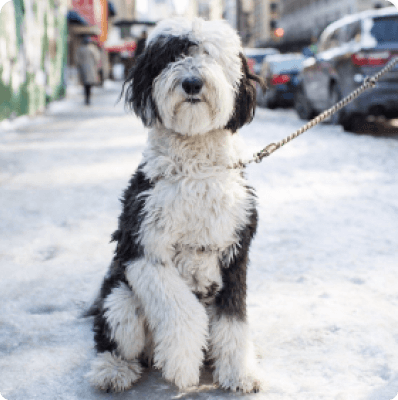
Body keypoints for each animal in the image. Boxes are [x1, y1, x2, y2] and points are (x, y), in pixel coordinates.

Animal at [85, 17, 262, 392]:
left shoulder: (235, 251)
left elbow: (234, 318)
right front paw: (181, 365)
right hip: (119, 299)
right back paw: (113, 369)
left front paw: (239, 371)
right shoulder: (141, 246)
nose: (192, 82)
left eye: (209, 54)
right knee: (114, 336)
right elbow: (180, 307)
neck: (195, 168)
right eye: (171, 56)